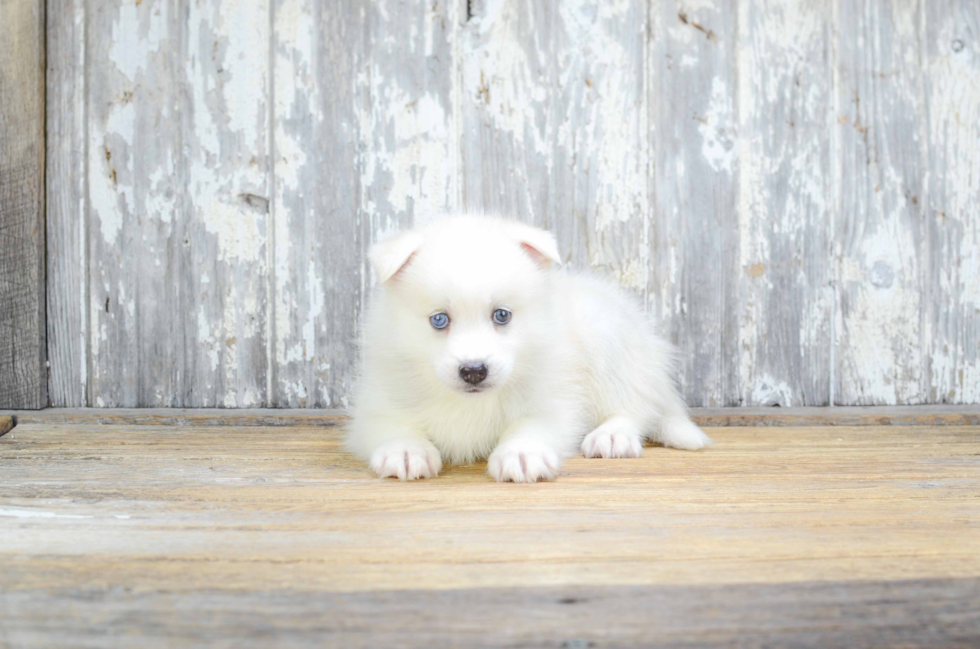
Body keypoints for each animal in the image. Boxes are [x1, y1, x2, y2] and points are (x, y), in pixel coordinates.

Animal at [346, 216, 712, 480]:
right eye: (439, 320)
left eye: (502, 315)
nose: (474, 371)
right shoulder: (377, 403)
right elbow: (392, 425)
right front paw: (406, 450)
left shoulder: (554, 400)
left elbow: (531, 425)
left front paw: (521, 452)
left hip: (607, 338)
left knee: (635, 404)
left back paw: (612, 435)